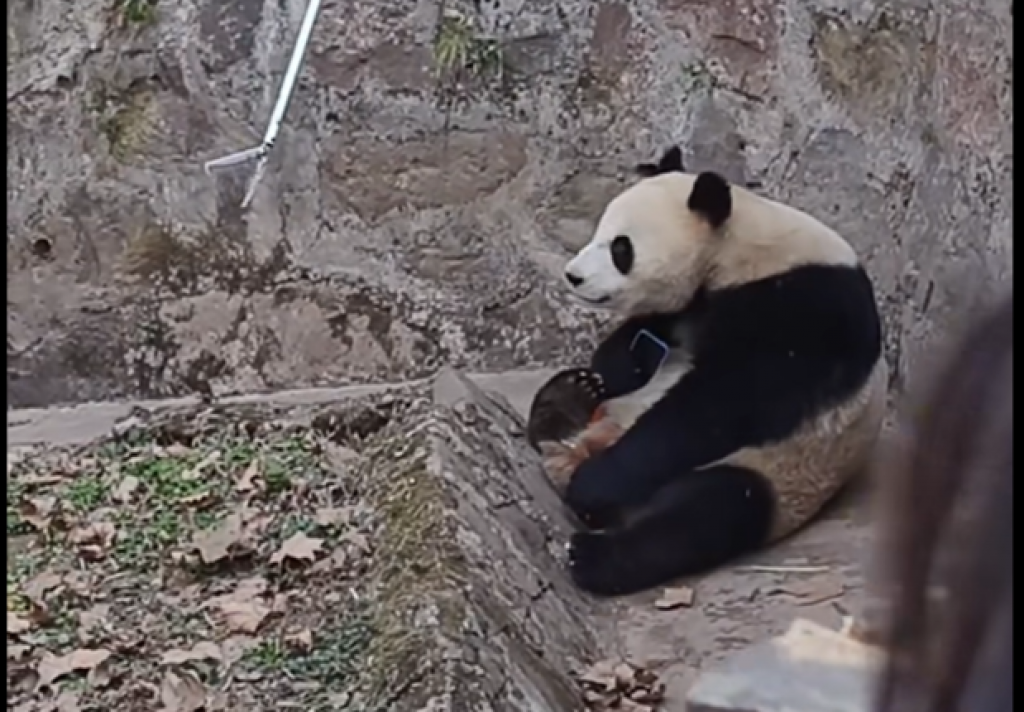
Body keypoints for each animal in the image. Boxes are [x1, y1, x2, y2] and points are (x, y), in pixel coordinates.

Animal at [527, 146, 888, 597]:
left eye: (620, 248)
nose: (573, 276)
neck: (736, 250)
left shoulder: (806, 309)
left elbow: (722, 404)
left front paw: (594, 485)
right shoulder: (686, 310)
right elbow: (634, 343)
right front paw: (616, 363)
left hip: (780, 471)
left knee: (707, 512)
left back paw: (592, 552)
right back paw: (564, 399)